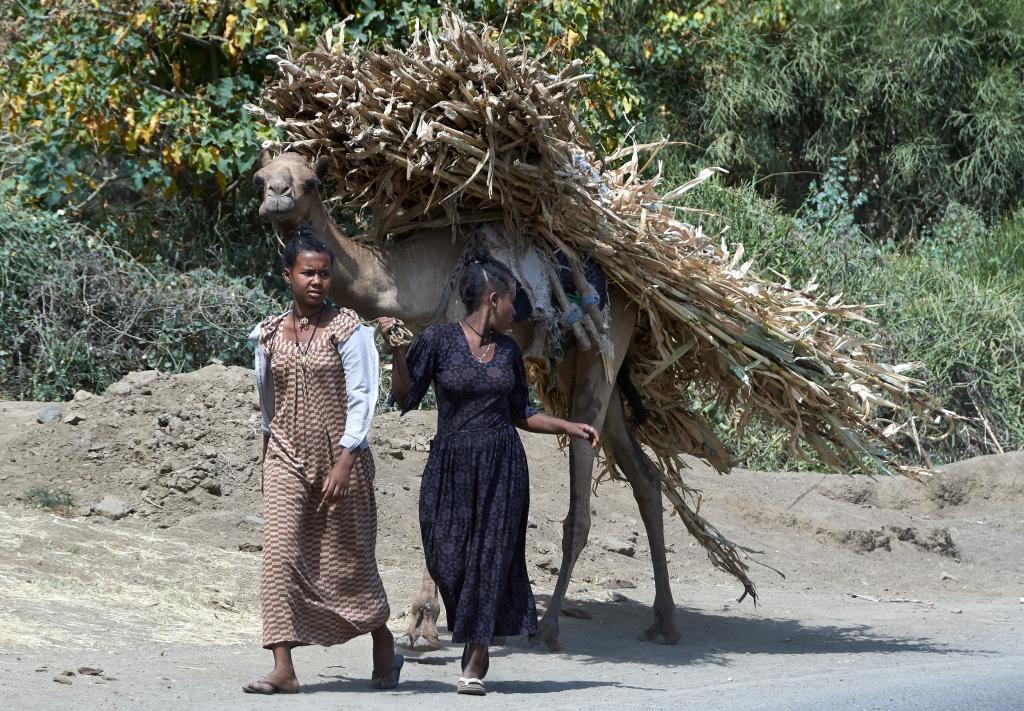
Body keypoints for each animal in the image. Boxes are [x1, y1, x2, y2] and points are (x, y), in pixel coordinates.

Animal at [252, 150, 679, 651]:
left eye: (312, 182)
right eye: (260, 177)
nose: (277, 196)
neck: (415, 278)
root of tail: (636, 296)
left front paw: (423, 623)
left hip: (603, 345)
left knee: (582, 496)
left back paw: (550, 626)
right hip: (590, 361)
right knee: (645, 475)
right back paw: (664, 621)